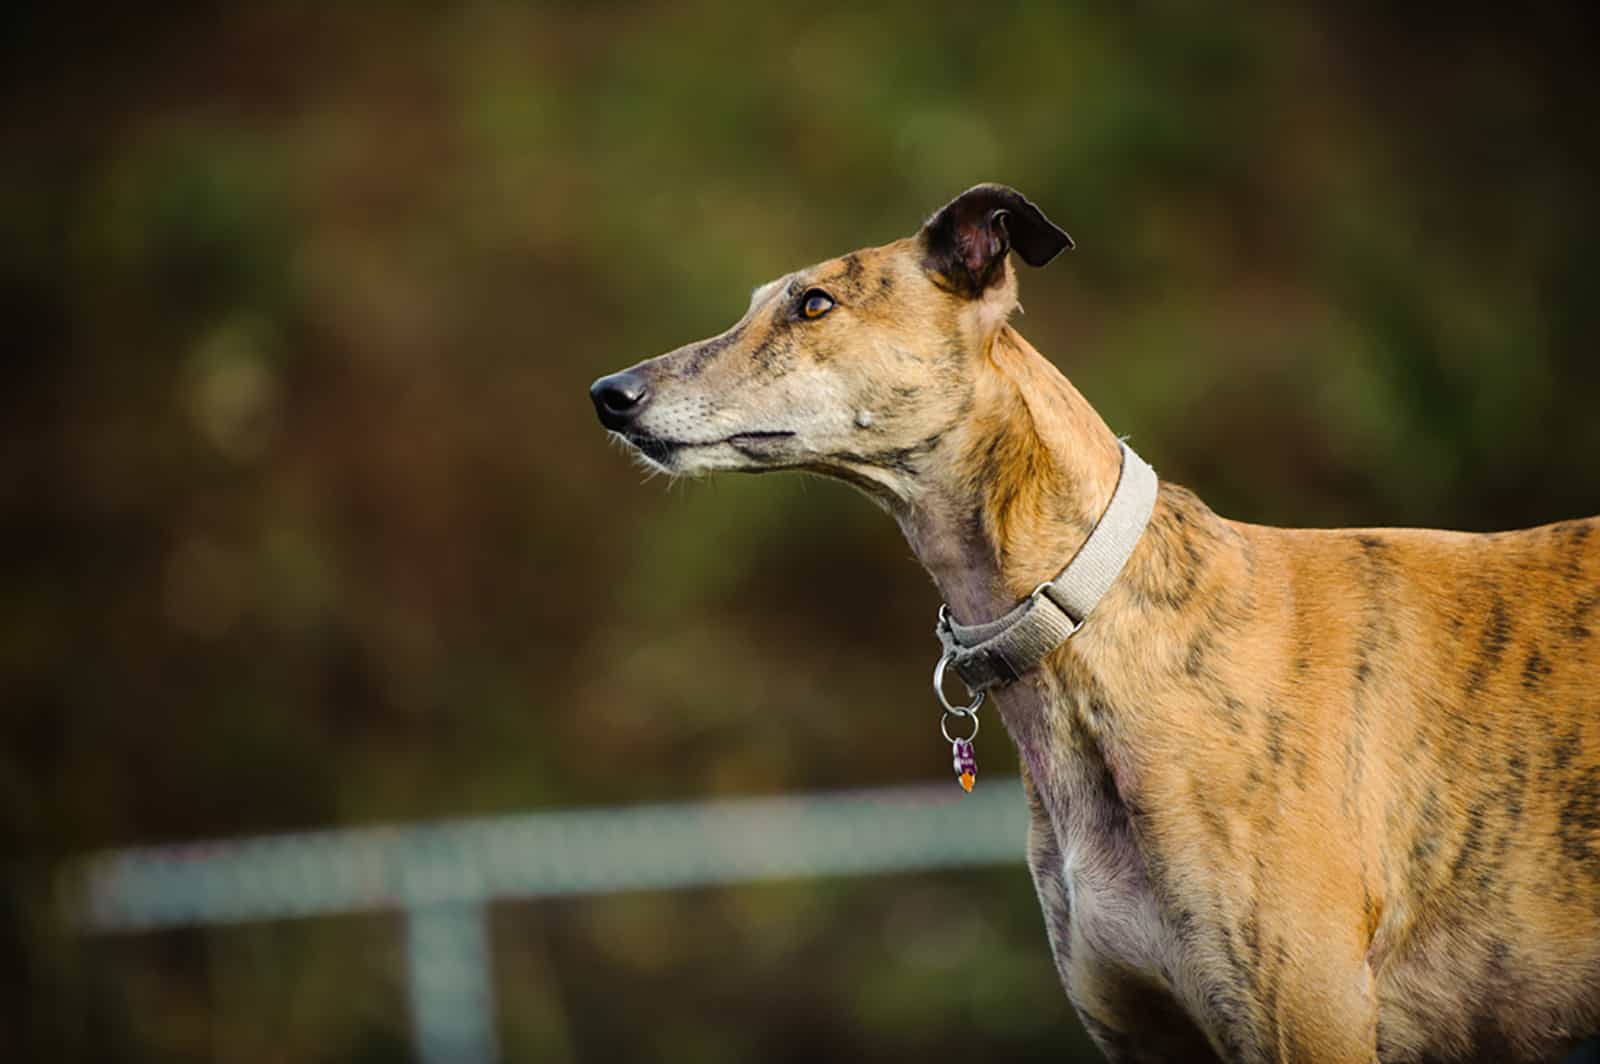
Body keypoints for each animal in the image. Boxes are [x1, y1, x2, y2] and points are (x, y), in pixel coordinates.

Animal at [588, 186, 1600, 1056]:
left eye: (814, 304)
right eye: (768, 303)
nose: (610, 394)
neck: (1098, 619)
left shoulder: (1306, 1021)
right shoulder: (1145, 1029)